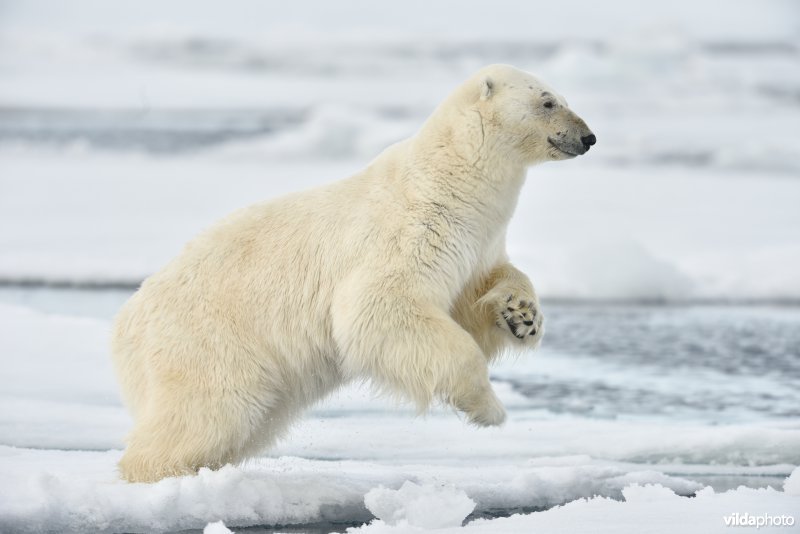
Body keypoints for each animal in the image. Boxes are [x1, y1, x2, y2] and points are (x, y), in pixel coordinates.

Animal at [111, 65, 592, 484]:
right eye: (548, 101)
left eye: (563, 98)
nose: (588, 137)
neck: (451, 181)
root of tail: (126, 324)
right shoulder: (409, 231)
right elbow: (380, 307)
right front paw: (488, 408)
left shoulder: (475, 242)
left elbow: (478, 289)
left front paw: (522, 315)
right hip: (210, 342)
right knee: (209, 411)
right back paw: (163, 474)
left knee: (251, 420)